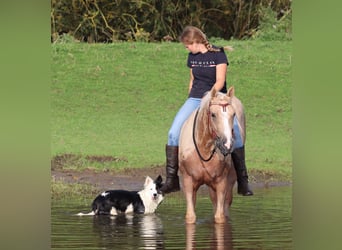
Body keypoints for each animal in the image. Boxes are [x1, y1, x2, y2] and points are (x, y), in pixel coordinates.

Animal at [178, 86, 244, 225]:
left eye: (233, 114)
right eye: (213, 115)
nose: (227, 144)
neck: (204, 148)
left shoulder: (221, 182)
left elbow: (220, 217)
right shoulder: (188, 181)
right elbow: (190, 216)